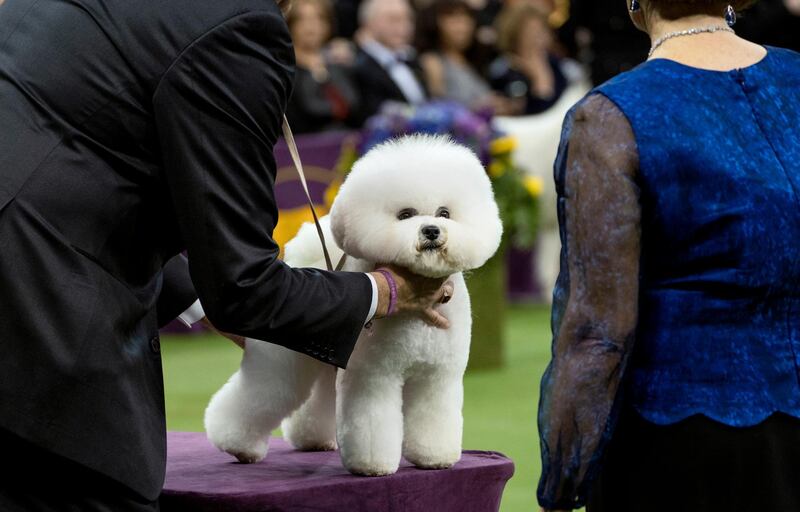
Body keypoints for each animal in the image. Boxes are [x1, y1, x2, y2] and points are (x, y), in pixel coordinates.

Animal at [202, 135, 500, 476]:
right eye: (405, 215)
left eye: (444, 213)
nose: (431, 231)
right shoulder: (372, 376)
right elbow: (372, 422)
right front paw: (372, 466)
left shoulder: (437, 376)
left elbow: (433, 418)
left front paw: (434, 457)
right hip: (282, 361)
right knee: (261, 394)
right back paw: (236, 443)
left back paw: (312, 439)